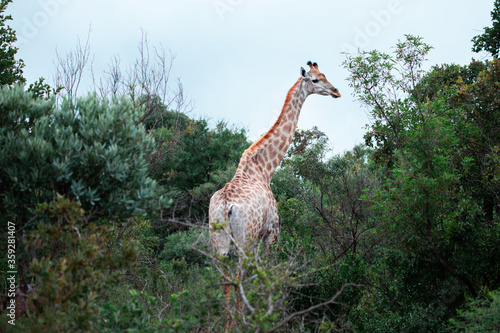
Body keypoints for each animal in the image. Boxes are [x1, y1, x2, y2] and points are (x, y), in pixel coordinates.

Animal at [207, 60, 340, 326]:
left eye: (325, 75)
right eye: (316, 80)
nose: (336, 91)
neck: (265, 169)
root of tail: (226, 206)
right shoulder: (272, 233)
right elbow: (267, 276)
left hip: (219, 242)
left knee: (224, 280)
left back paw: (225, 324)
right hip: (244, 240)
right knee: (238, 278)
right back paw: (240, 324)